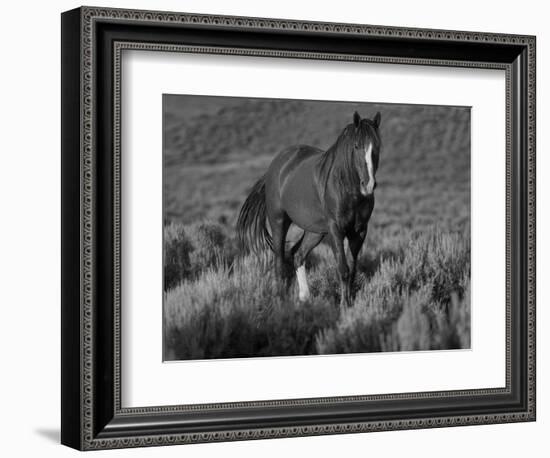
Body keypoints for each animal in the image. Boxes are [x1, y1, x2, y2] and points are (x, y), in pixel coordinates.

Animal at [237, 111, 384, 308]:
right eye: (356, 146)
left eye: (377, 147)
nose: (368, 185)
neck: (346, 188)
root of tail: (275, 165)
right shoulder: (336, 230)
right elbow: (343, 269)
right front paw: (344, 305)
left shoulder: (359, 232)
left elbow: (353, 270)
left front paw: (350, 303)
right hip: (279, 221)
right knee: (279, 262)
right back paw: (281, 301)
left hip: (315, 231)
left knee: (298, 255)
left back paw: (304, 297)